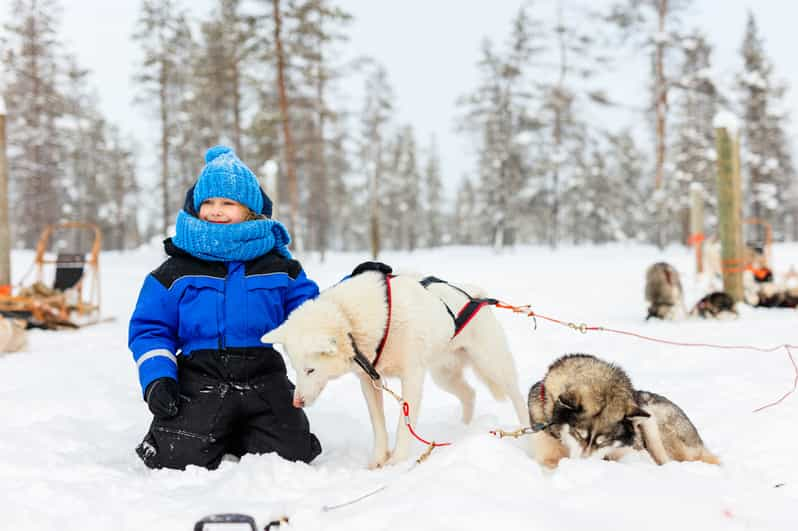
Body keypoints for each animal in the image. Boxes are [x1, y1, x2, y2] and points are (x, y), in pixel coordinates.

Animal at [260, 268, 532, 468]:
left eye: (310, 370)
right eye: (296, 370)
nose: (296, 402)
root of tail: (477, 295)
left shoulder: (412, 378)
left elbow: (404, 425)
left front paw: (398, 460)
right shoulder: (369, 381)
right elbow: (378, 426)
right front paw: (378, 460)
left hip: (493, 364)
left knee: (517, 395)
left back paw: (525, 430)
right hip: (443, 376)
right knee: (469, 394)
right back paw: (463, 428)